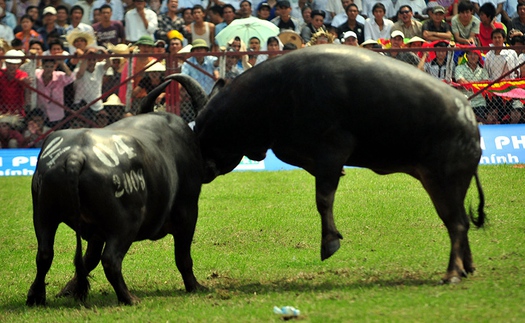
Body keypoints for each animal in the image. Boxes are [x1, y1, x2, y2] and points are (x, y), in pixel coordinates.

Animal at [26, 112, 204, 306]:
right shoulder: (187, 211)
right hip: (125, 224)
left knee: (44, 254)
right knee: (111, 260)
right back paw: (129, 298)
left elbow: (89, 259)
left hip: (43, 215)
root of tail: (75, 155)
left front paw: (68, 290)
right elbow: (183, 257)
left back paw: (35, 296)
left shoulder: (96, 233)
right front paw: (195, 286)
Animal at [144, 45, 488, 284]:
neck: (273, 94)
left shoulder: (331, 151)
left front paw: (330, 242)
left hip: (442, 180)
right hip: (446, 184)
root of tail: (469, 120)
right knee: (460, 221)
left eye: (205, 132)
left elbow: (323, 198)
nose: (203, 169)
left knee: (457, 223)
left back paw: (452, 273)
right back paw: (467, 267)